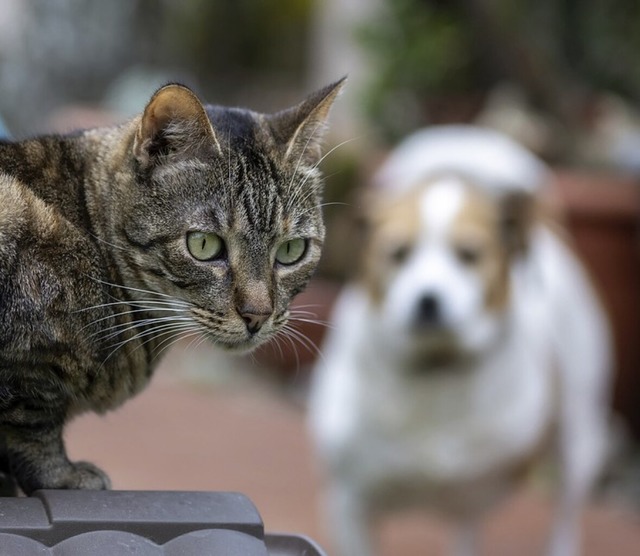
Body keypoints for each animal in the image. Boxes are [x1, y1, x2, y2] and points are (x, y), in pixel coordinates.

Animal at [0, 78, 344, 496]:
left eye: (292, 250)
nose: (257, 314)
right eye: (204, 245)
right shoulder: (28, 364)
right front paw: (62, 476)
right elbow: (33, 422)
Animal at [308, 127, 612, 556]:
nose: (428, 301)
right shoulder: (350, 503)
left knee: (566, 511)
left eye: (468, 255)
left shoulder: (467, 508)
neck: (436, 368)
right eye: (397, 253)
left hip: (579, 437)